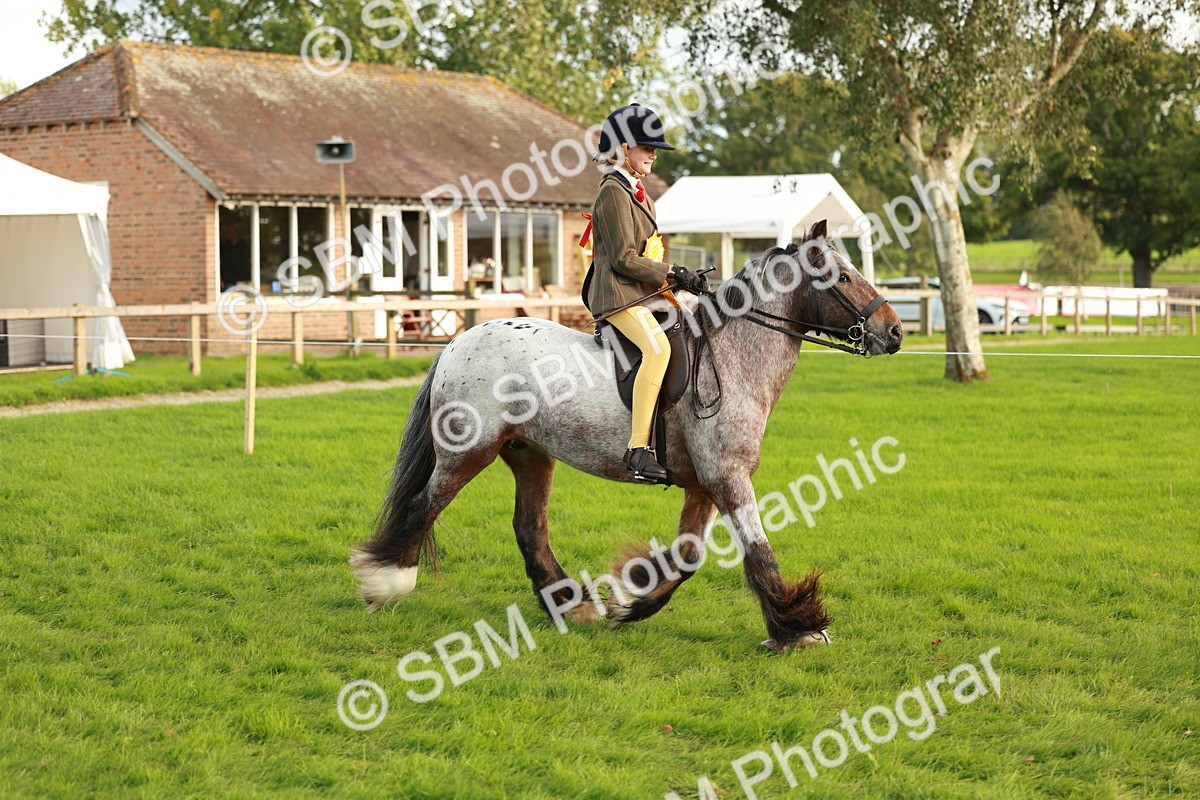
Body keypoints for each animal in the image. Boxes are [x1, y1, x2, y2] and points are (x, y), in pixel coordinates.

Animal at [351, 220, 904, 651]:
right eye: (843, 276)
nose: (895, 331)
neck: (734, 356)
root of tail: (457, 342)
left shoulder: (704, 484)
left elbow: (687, 557)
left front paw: (633, 600)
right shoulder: (728, 477)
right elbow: (758, 550)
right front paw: (798, 628)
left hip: (530, 453)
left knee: (529, 525)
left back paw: (572, 605)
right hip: (469, 452)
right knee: (425, 504)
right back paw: (385, 582)